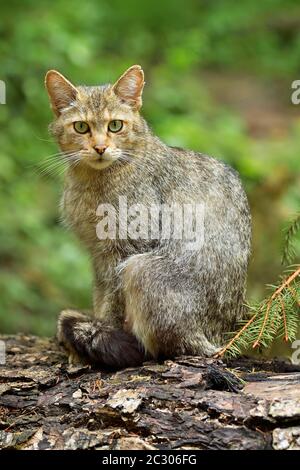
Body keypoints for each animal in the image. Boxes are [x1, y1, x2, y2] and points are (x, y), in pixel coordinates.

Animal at [45, 65, 251, 368]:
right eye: (81, 127)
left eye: (115, 126)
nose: (100, 148)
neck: (92, 182)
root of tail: (221, 340)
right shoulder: (98, 255)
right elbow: (99, 297)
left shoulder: (126, 250)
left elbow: (112, 305)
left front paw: (101, 335)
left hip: (140, 268)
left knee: (166, 349)